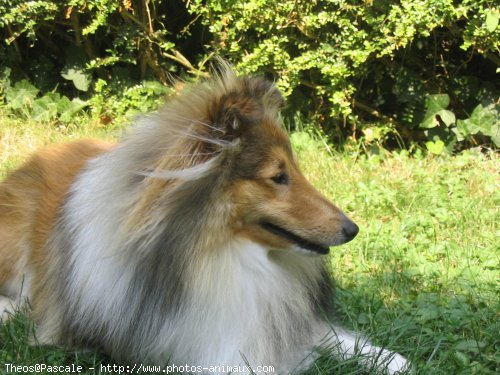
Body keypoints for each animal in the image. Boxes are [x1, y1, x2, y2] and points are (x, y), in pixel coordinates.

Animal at [0, 64, 408, 374]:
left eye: (295, 169)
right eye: (278, 176)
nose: (351, 229)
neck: (218, 253)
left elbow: (325, 335)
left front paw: (391, 359)